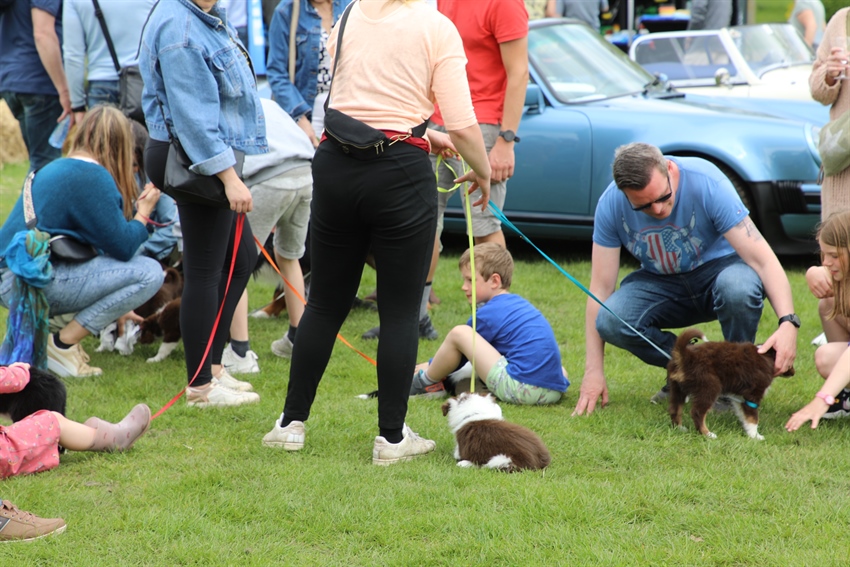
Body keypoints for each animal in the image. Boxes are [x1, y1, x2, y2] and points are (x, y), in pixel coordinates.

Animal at [667, 328, 795, 440]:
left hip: (677, 388)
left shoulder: (740, 398)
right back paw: (707, 434)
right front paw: (756, 436)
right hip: (709, 386)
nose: (794, 373)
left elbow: (745, 416)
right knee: (697, 412)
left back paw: (680, 428)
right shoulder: (753, 395)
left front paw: (748, 432)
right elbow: (753, 418)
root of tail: (685, 355)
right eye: (791, 360)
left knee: (675, 408)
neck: (767, 356)